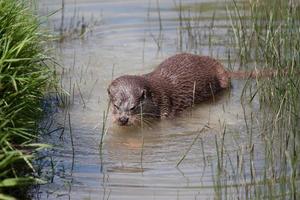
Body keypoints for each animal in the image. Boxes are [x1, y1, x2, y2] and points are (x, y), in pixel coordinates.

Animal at [108, 52, 272, 126]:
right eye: (115, 106)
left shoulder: (166, 107)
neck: (157, 98)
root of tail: (223, 68)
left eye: (133, 107)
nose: (123, 119)